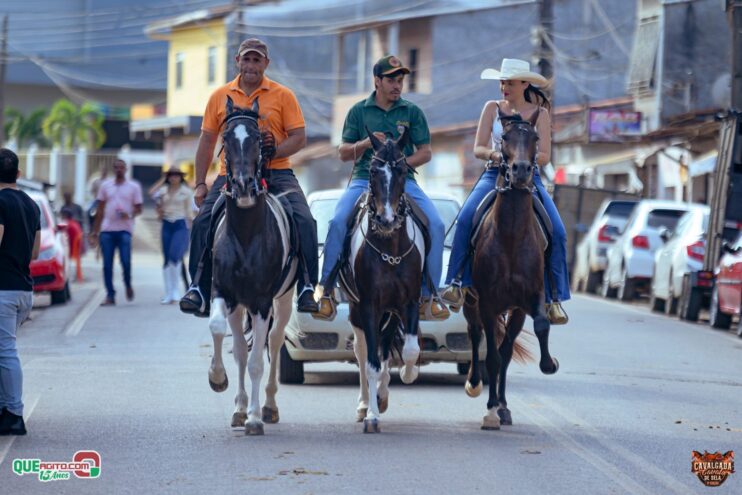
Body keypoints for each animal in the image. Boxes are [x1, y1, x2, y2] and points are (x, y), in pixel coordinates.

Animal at [207, 96, 297, 436]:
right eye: (226, 138)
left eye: (259, 138)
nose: (244, 186)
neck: (246, 233)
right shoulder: (224, 293)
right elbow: (221, 333)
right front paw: (218, 380)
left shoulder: (261, 301)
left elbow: (259, 360)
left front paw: (255, 418)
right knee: (243, 350)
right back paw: (240, 406)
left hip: (283, 302)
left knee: (273, 341)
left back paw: (268, 407)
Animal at [343, 127, 426, 433]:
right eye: (373, 171)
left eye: (401, 171)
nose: (386, 219)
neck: (390, 249)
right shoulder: (368, 306)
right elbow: (371, 362)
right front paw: (371, 416)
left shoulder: (410, 302)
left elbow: (411, 349)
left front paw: (407, 374)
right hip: (358, 310)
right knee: (363, 351)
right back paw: (365, 403)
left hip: (390, 312)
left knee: (385, 347)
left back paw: (382, 393)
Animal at [463, 112, 559, 431]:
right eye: (504, 137)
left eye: (536, 137)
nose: (521, 170)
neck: (512, 236)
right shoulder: (488, 303)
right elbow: (490, 355)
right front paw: (490, 409)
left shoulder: (529, 298)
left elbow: (538, 327)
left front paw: (548, 364)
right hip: (472, 304)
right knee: (475, 335)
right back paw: (476, 385)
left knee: (504, 351)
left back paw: (503, 406)